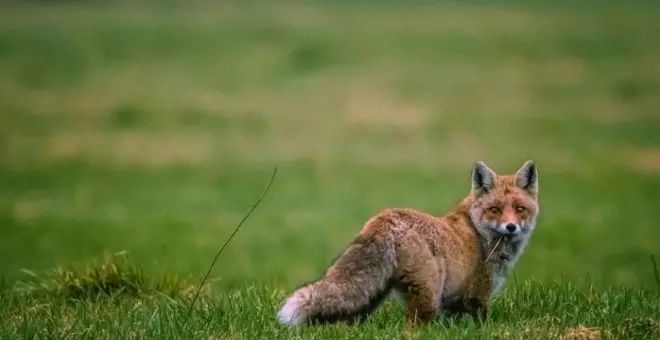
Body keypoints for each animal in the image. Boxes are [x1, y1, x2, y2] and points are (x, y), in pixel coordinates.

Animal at [276, 161, 540, 326]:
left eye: (520, 209)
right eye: (495, 209)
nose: (511, 227)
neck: (479, 232)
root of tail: (385, 219)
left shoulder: (452, 306)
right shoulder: (477, 295)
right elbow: (481, 324)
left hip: (369, 297)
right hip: (427, 298)